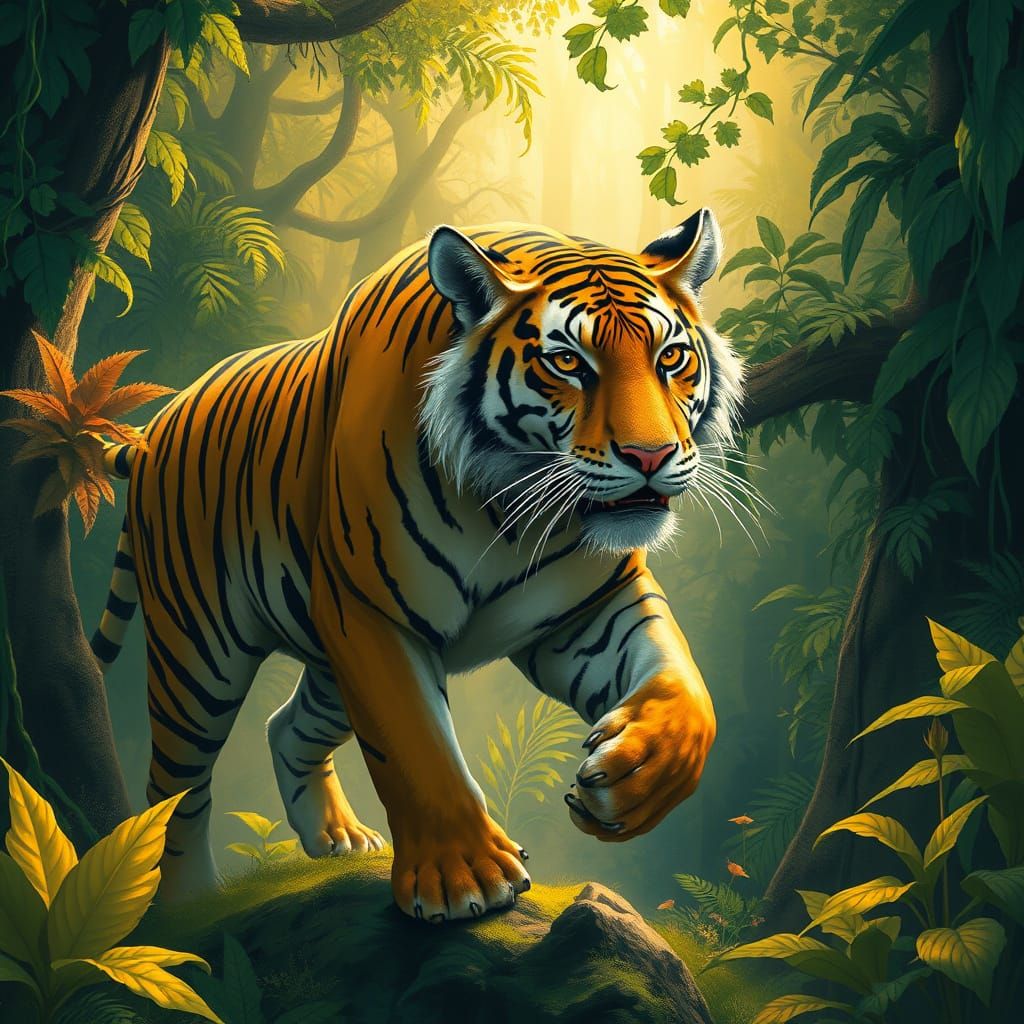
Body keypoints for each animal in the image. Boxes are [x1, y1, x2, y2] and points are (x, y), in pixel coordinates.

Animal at [91, 207, 742, 922]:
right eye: (568, 362)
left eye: (670, 357)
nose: (651, 456)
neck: (509, 514)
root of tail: (157, 425)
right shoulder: (369, 612)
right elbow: (415, 746)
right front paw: (464, 878)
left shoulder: (593, 608)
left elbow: (688, 688)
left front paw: (633, 778)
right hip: (198, 652)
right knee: (175, 790)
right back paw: (184, 906)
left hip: (325, 667)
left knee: (286, 727)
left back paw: (339, 838)